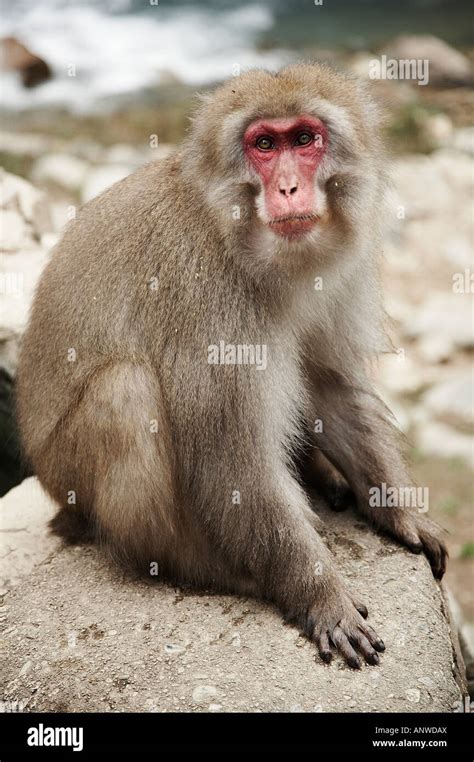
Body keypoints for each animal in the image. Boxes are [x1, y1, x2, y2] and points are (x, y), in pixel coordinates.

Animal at [17, 67, 448, 672]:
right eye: (263, 144)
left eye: (304, 139)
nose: (288, 189)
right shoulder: (206, 294)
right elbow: (232, 462)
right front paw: (320, 594)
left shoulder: (335, 270)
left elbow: (329, 385)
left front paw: (402, 512)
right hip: (70, 475)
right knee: (125, 389)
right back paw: (206, 569)